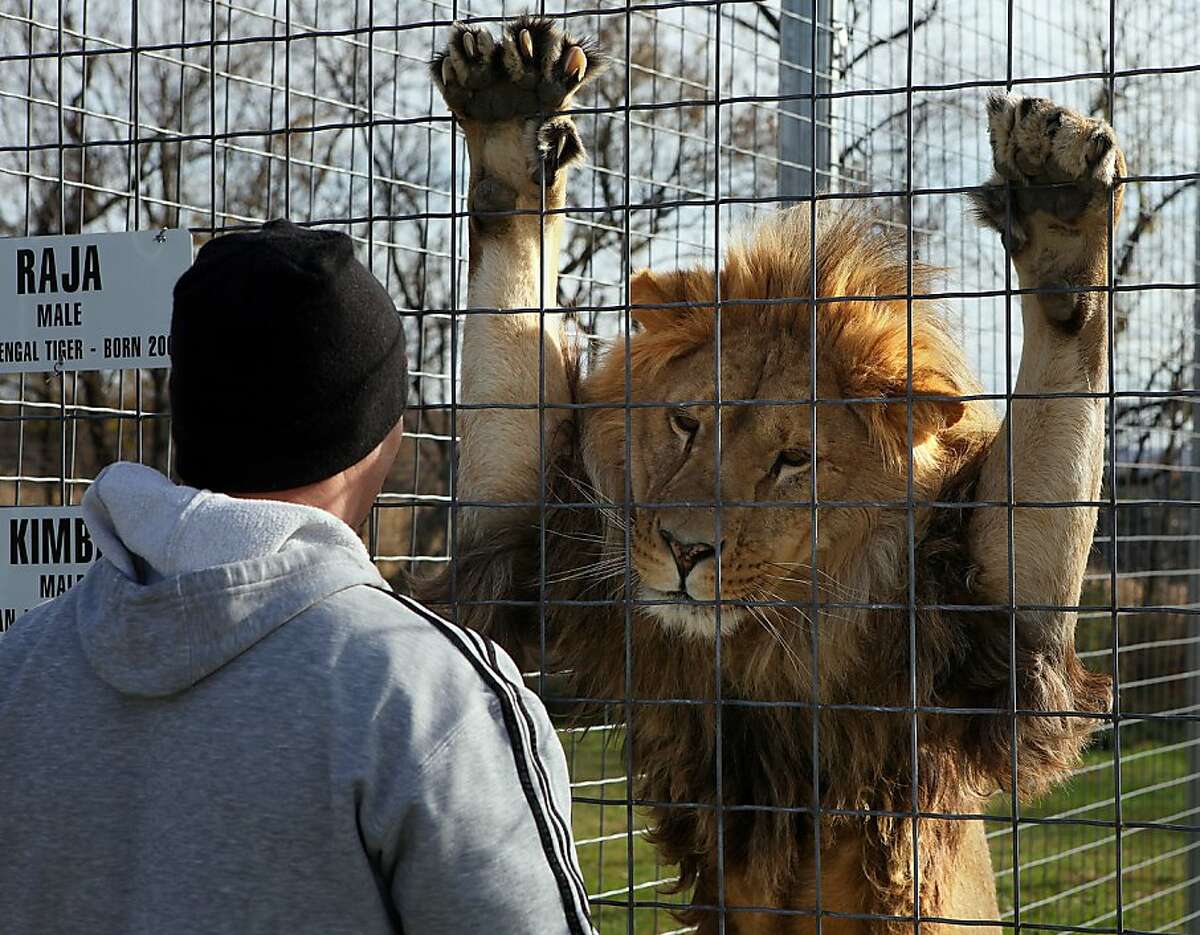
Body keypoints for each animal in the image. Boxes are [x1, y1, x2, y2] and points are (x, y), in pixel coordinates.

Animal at [427, 16, 1118, 935]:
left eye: (794, 460)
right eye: (686, 423)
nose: (686, 552)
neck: (766, 645)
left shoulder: (989, 626)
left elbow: (1063, 368)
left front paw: (1062, 218)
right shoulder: (531, 533)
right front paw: (510, 126)